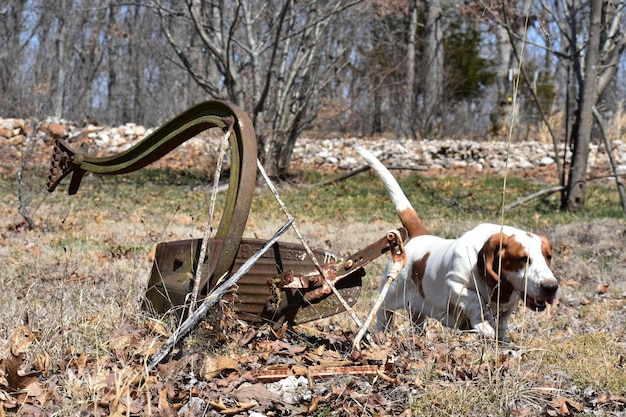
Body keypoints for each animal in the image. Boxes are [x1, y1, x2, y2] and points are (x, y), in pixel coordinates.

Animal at [356, 148, 556, 340]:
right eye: (522, 258)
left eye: (548, 257)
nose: (551, 287)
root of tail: (420, 235)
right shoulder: (456, 284)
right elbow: (477, 303)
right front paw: (484, 326)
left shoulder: (510, 304)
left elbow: (502, 322)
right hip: (389, 296)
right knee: (383, 317)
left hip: (417, 311)